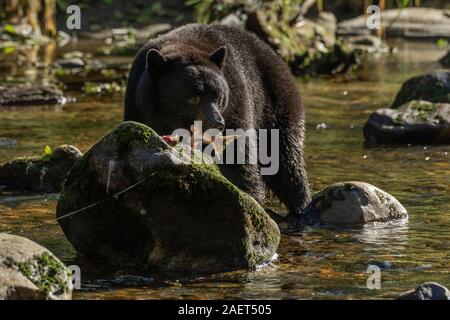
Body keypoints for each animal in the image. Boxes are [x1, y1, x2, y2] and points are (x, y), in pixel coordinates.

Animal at [125, 23, 312, 216]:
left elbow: (239, 155)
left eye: (218, 96)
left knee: (287, 157)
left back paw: (302, 206)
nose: (218, 123)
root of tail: (275, 56)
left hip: (276, 103)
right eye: (193, 98)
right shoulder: (138, 107)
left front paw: (251, 198)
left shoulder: (236, 102)